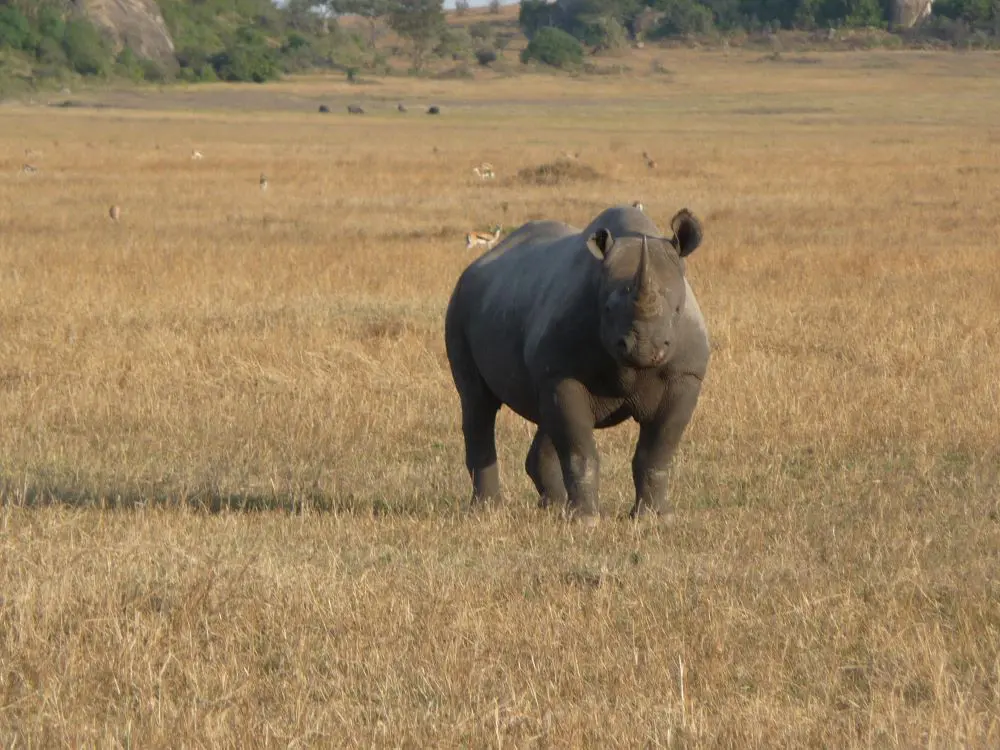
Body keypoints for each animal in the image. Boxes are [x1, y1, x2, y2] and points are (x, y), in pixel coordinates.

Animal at [444, 204, 709, 521]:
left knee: (544, 414)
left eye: (678, 309)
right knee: (478, 402)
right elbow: (579, 449)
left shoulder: (684, 375)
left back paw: (553, 507)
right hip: (459, 305)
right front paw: (586, 520)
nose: (644, 348)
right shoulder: (563, 374)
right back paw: (487, 511)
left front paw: (655, 518)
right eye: (606, 309)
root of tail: (475, 266)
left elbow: (659, 450)